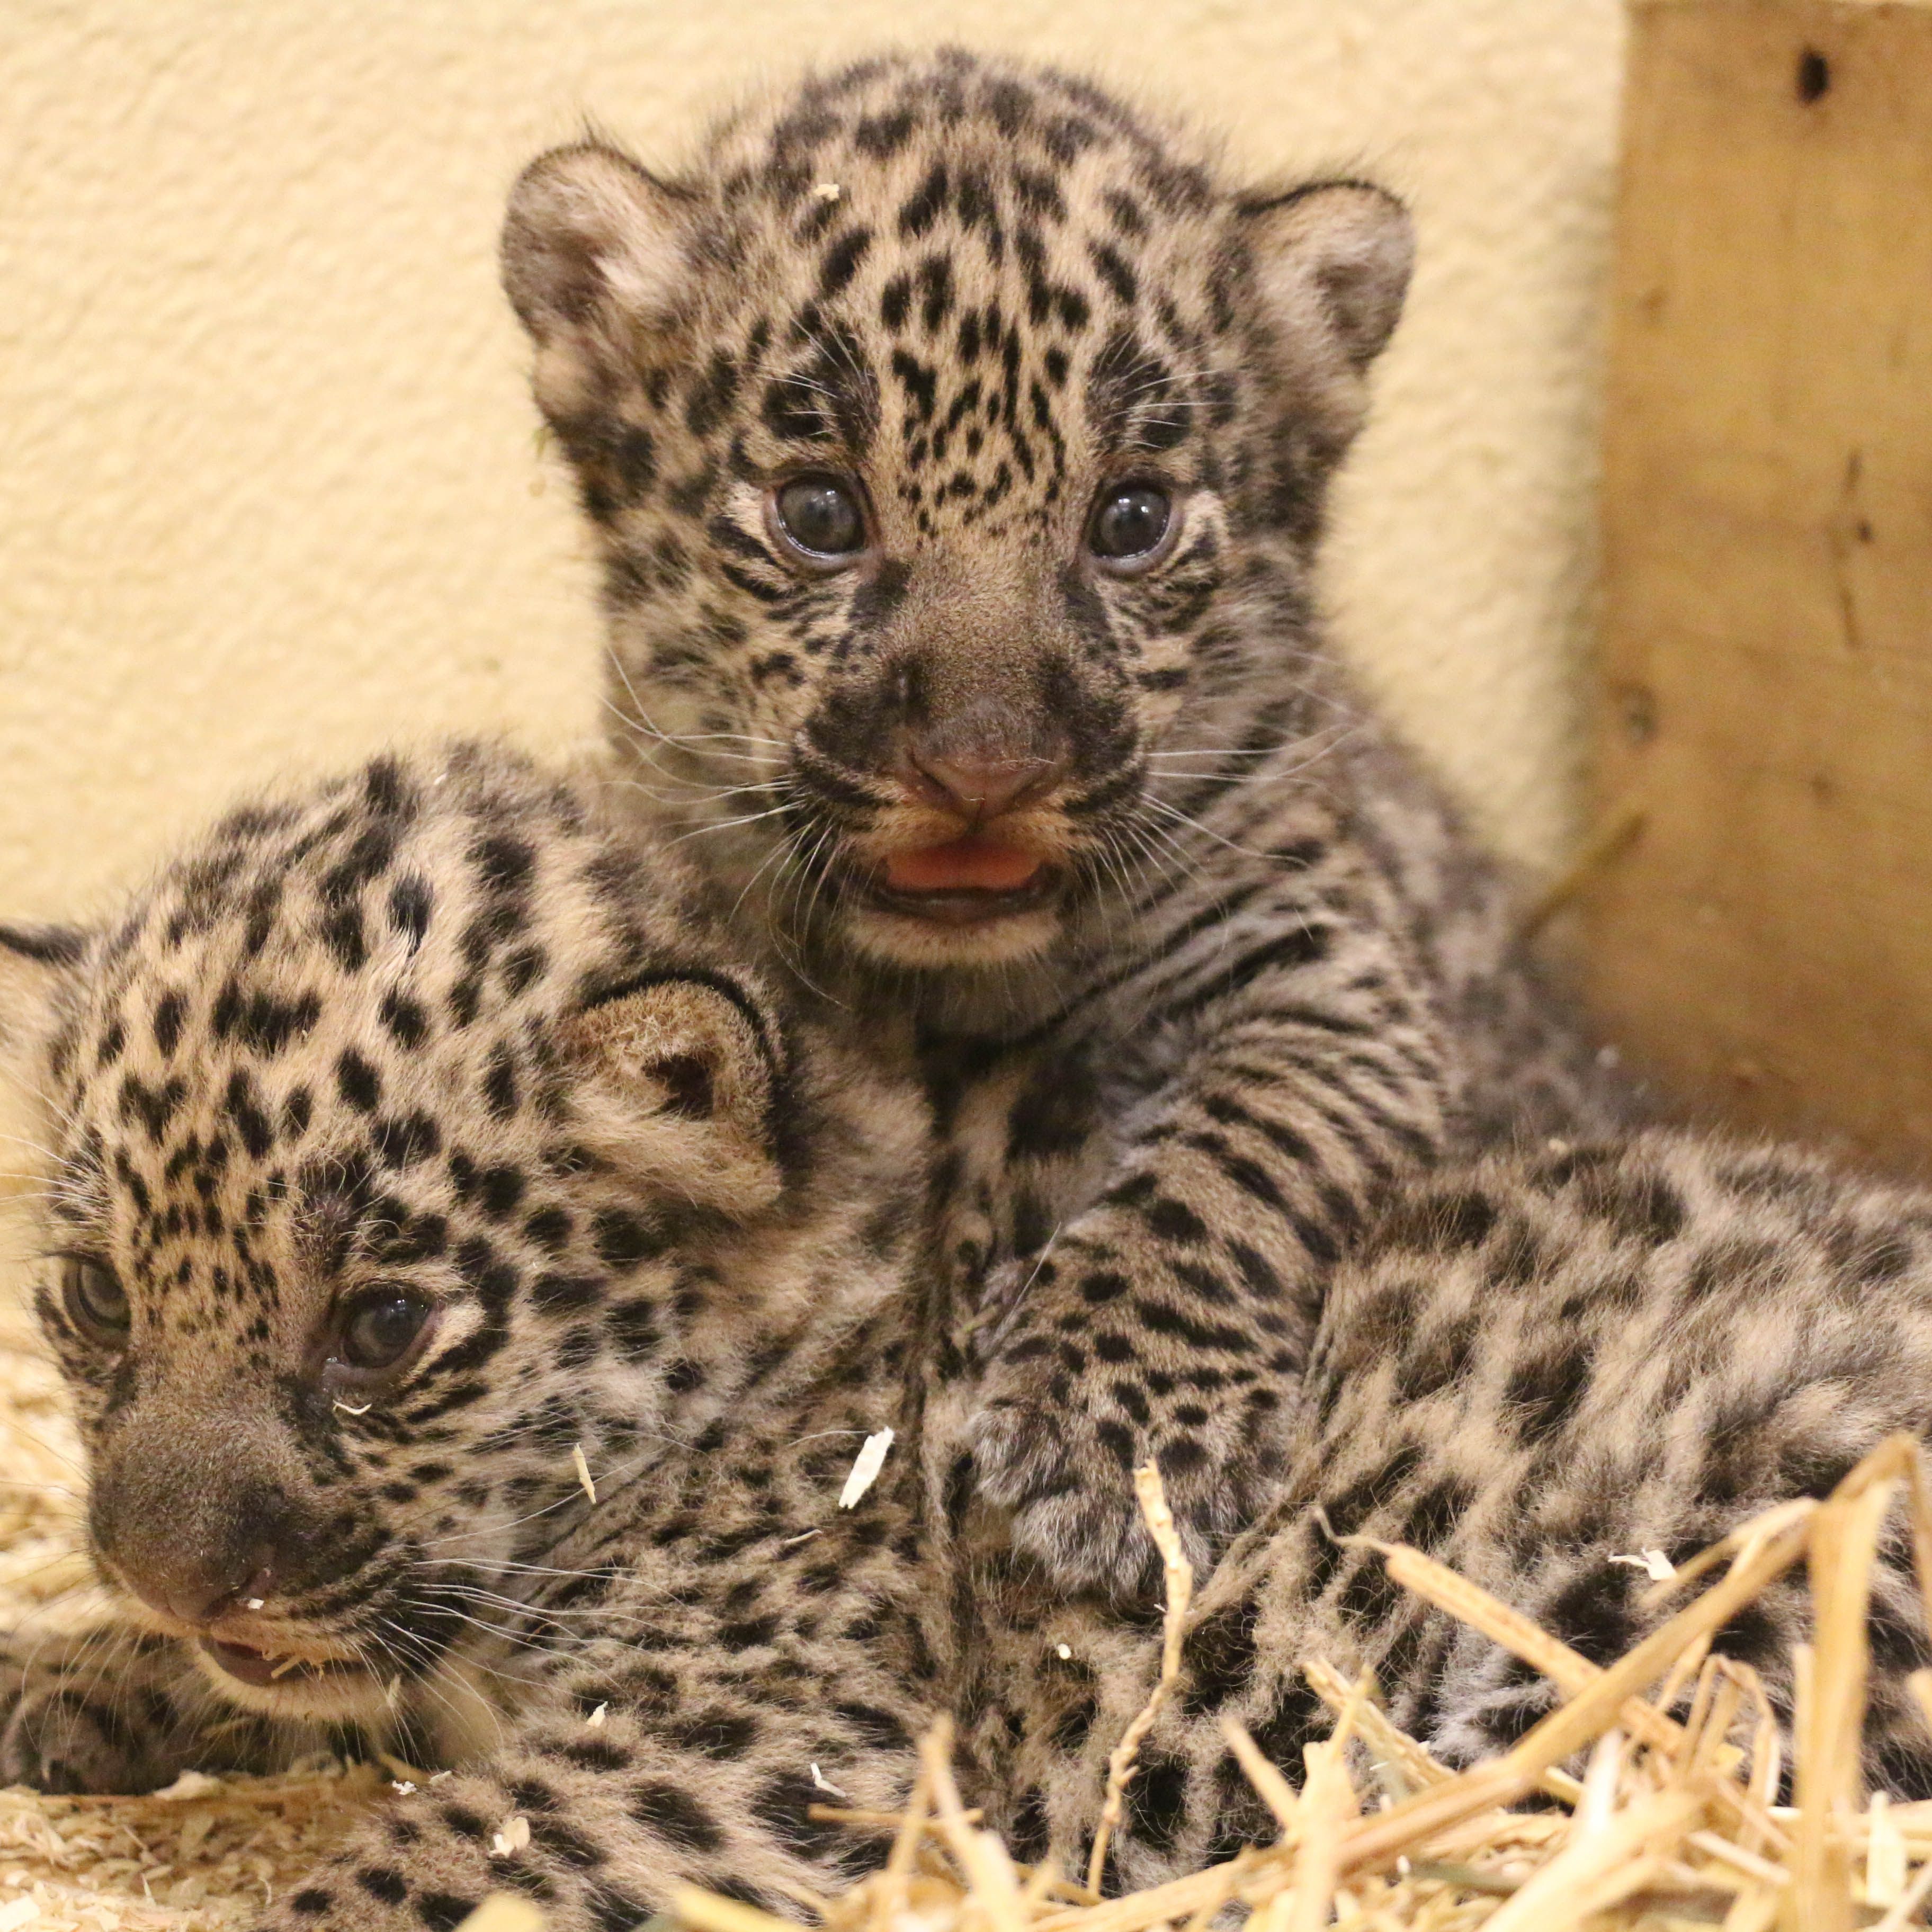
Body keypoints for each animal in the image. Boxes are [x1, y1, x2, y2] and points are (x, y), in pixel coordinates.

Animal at [7, 744, 1932, 1932]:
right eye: (95, 1297)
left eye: (384, 1328)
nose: (159, 1569)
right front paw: (66, 1672)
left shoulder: (782, 1751)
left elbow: (428, 1851)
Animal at [499, 47, 1631, 1600]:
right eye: (817, 512)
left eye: (1133, 520)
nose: (984, 771)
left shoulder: (1337, 979)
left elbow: (1240, 1156)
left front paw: (1111, 1439)